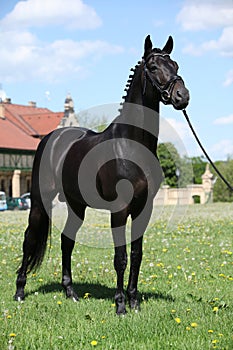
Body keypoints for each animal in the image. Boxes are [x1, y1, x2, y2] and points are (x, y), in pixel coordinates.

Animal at [14, 35, 189, 314]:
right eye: (153, 67)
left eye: (175, 65)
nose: (182, 96)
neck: (130, 145)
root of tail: (51, 138)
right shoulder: (118, 210)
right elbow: (120, 257)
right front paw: (120, 305)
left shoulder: (144, 209)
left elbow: (137, 256)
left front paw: (134, 302)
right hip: (40, 202)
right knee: (29, 239)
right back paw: (20, 292)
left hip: (76, 205)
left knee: (67, 240)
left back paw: (71, 293)